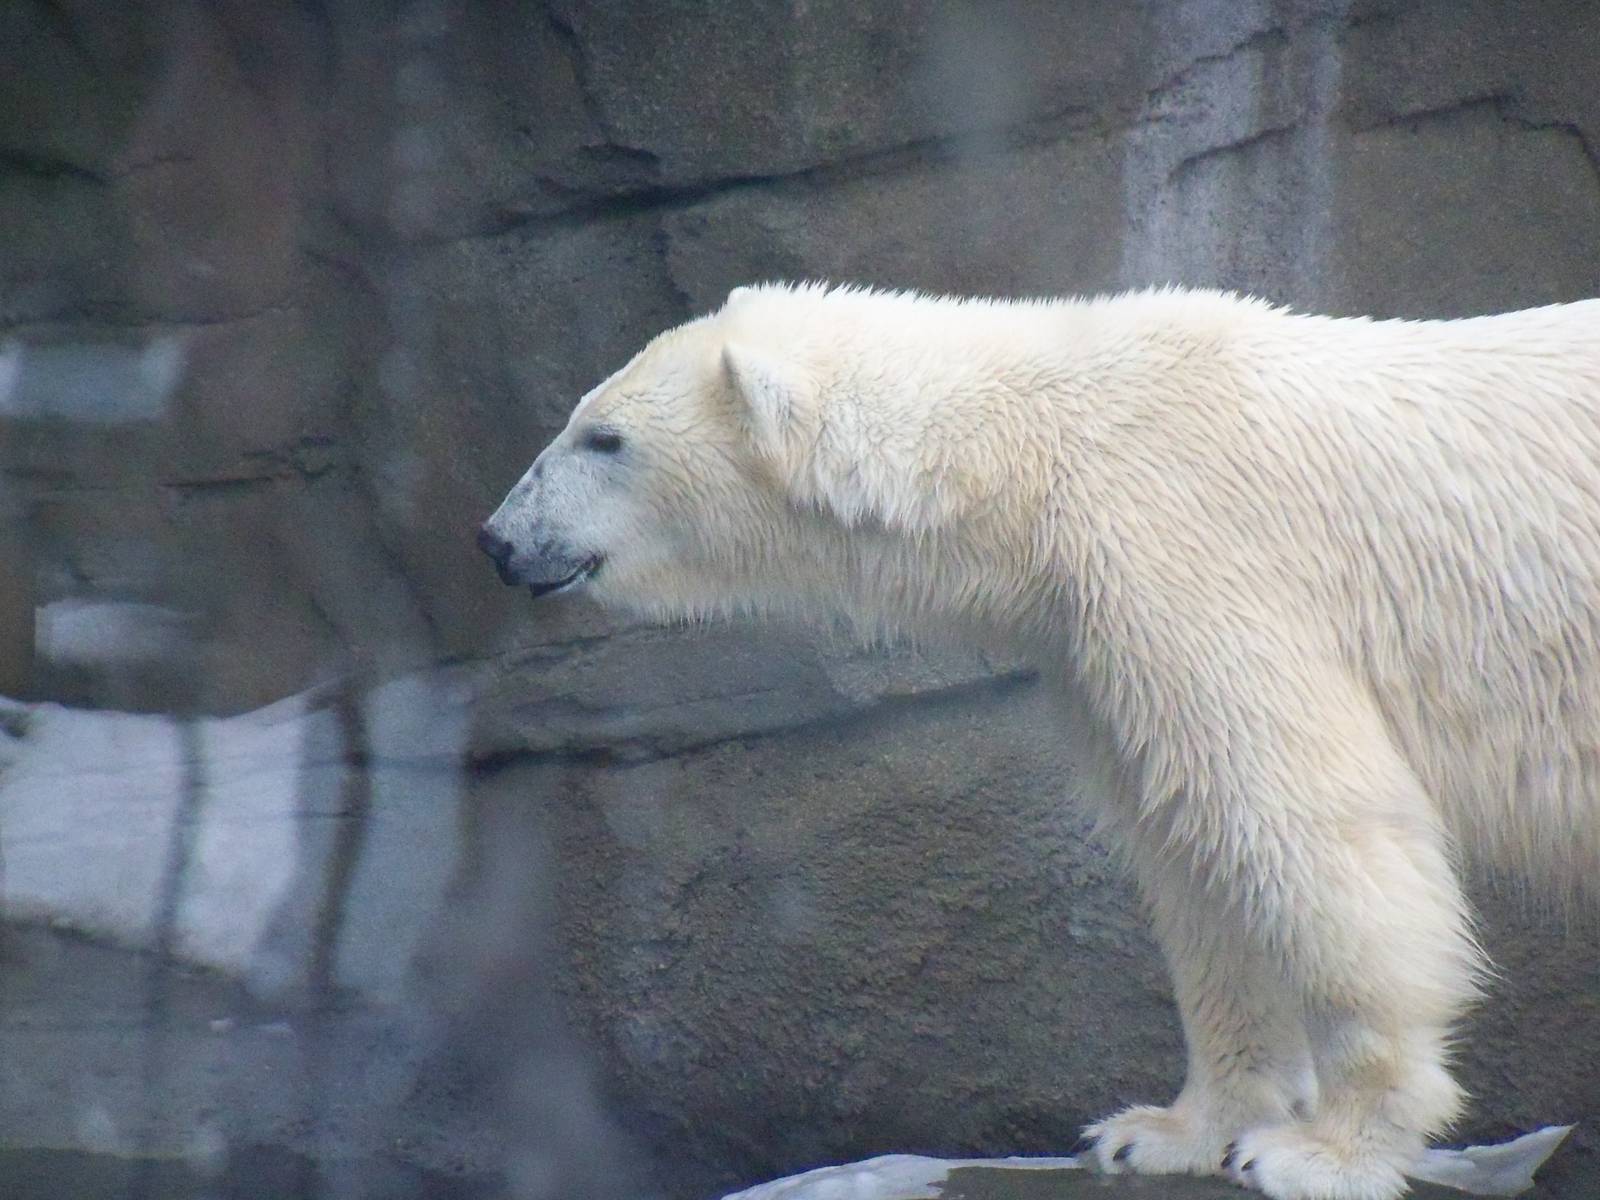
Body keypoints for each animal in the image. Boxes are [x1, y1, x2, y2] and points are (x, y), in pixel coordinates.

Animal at [478, 283, 1600, 1200]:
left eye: (603, 439)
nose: (496, 538)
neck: (1046, 441)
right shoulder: (1094, 632)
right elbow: (1193, 847)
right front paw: (1166, 1132)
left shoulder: (1192, 550)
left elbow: (1306, 826)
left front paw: (1328, 1150)